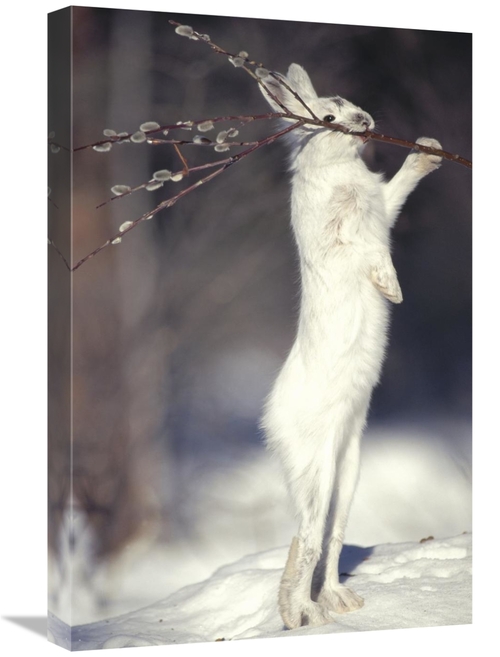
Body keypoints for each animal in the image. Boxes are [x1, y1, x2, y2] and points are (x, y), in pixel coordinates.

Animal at [258, 64, 442, 630]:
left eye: (348, 101)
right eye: (326, 118)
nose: (364, 122)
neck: (339, 167)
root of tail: (270, 423)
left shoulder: (382, 206)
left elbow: (397, 191)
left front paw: (428, 151)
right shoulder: (340, 238)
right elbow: (369, 251)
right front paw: (392, 289)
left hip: (349, 468)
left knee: (330, 538)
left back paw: (340, 603)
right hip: (317, 467)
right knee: (310, 538)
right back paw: (307, 617)